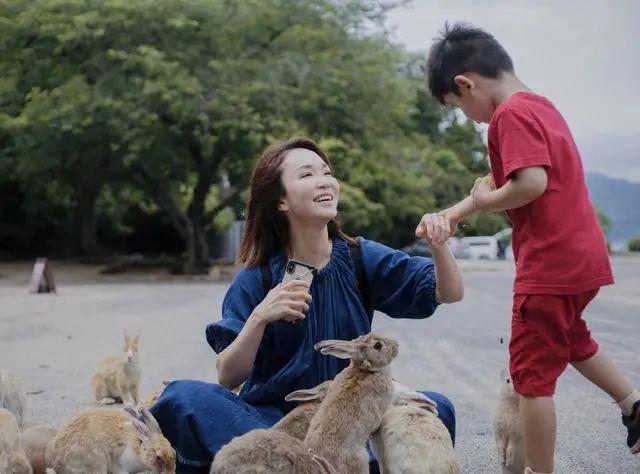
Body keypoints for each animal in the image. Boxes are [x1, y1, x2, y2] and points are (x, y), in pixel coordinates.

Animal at [44, 404, 175, 474]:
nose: (171, 472)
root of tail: (55, 463)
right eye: (158, 456)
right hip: (97, 463)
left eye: (173, 452)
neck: (138, 449)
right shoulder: (121, 469)